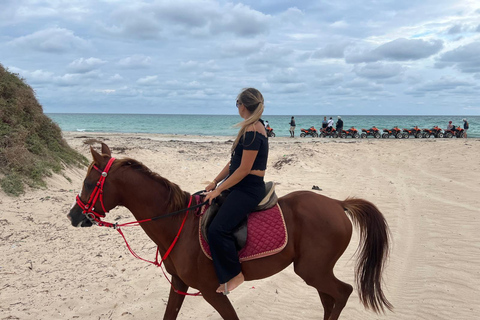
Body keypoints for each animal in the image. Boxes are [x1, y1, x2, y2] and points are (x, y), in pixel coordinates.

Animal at [65, 144, 392, 318]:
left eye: (89, 183)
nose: (73, 216)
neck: (178, 224)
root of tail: (338, 203)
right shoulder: (179, 284)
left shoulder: (212, 291)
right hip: (315, 271)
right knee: (329, 299)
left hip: (313, 270)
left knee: (342, 293)